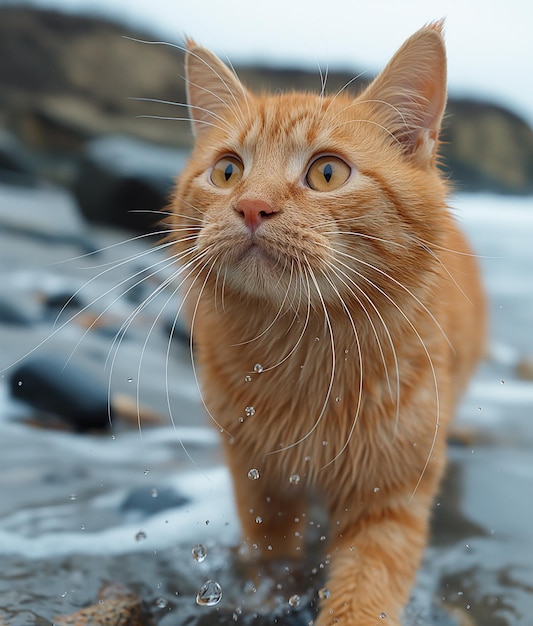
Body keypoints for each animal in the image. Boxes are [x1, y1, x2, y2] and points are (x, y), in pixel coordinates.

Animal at [168, 22, 484, 620]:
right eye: (228, 171)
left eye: (327, 172)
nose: (251, 206)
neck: (305, 353)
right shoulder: (258, 479)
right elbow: (271, 554)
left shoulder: (390, 496)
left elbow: (366, 590)